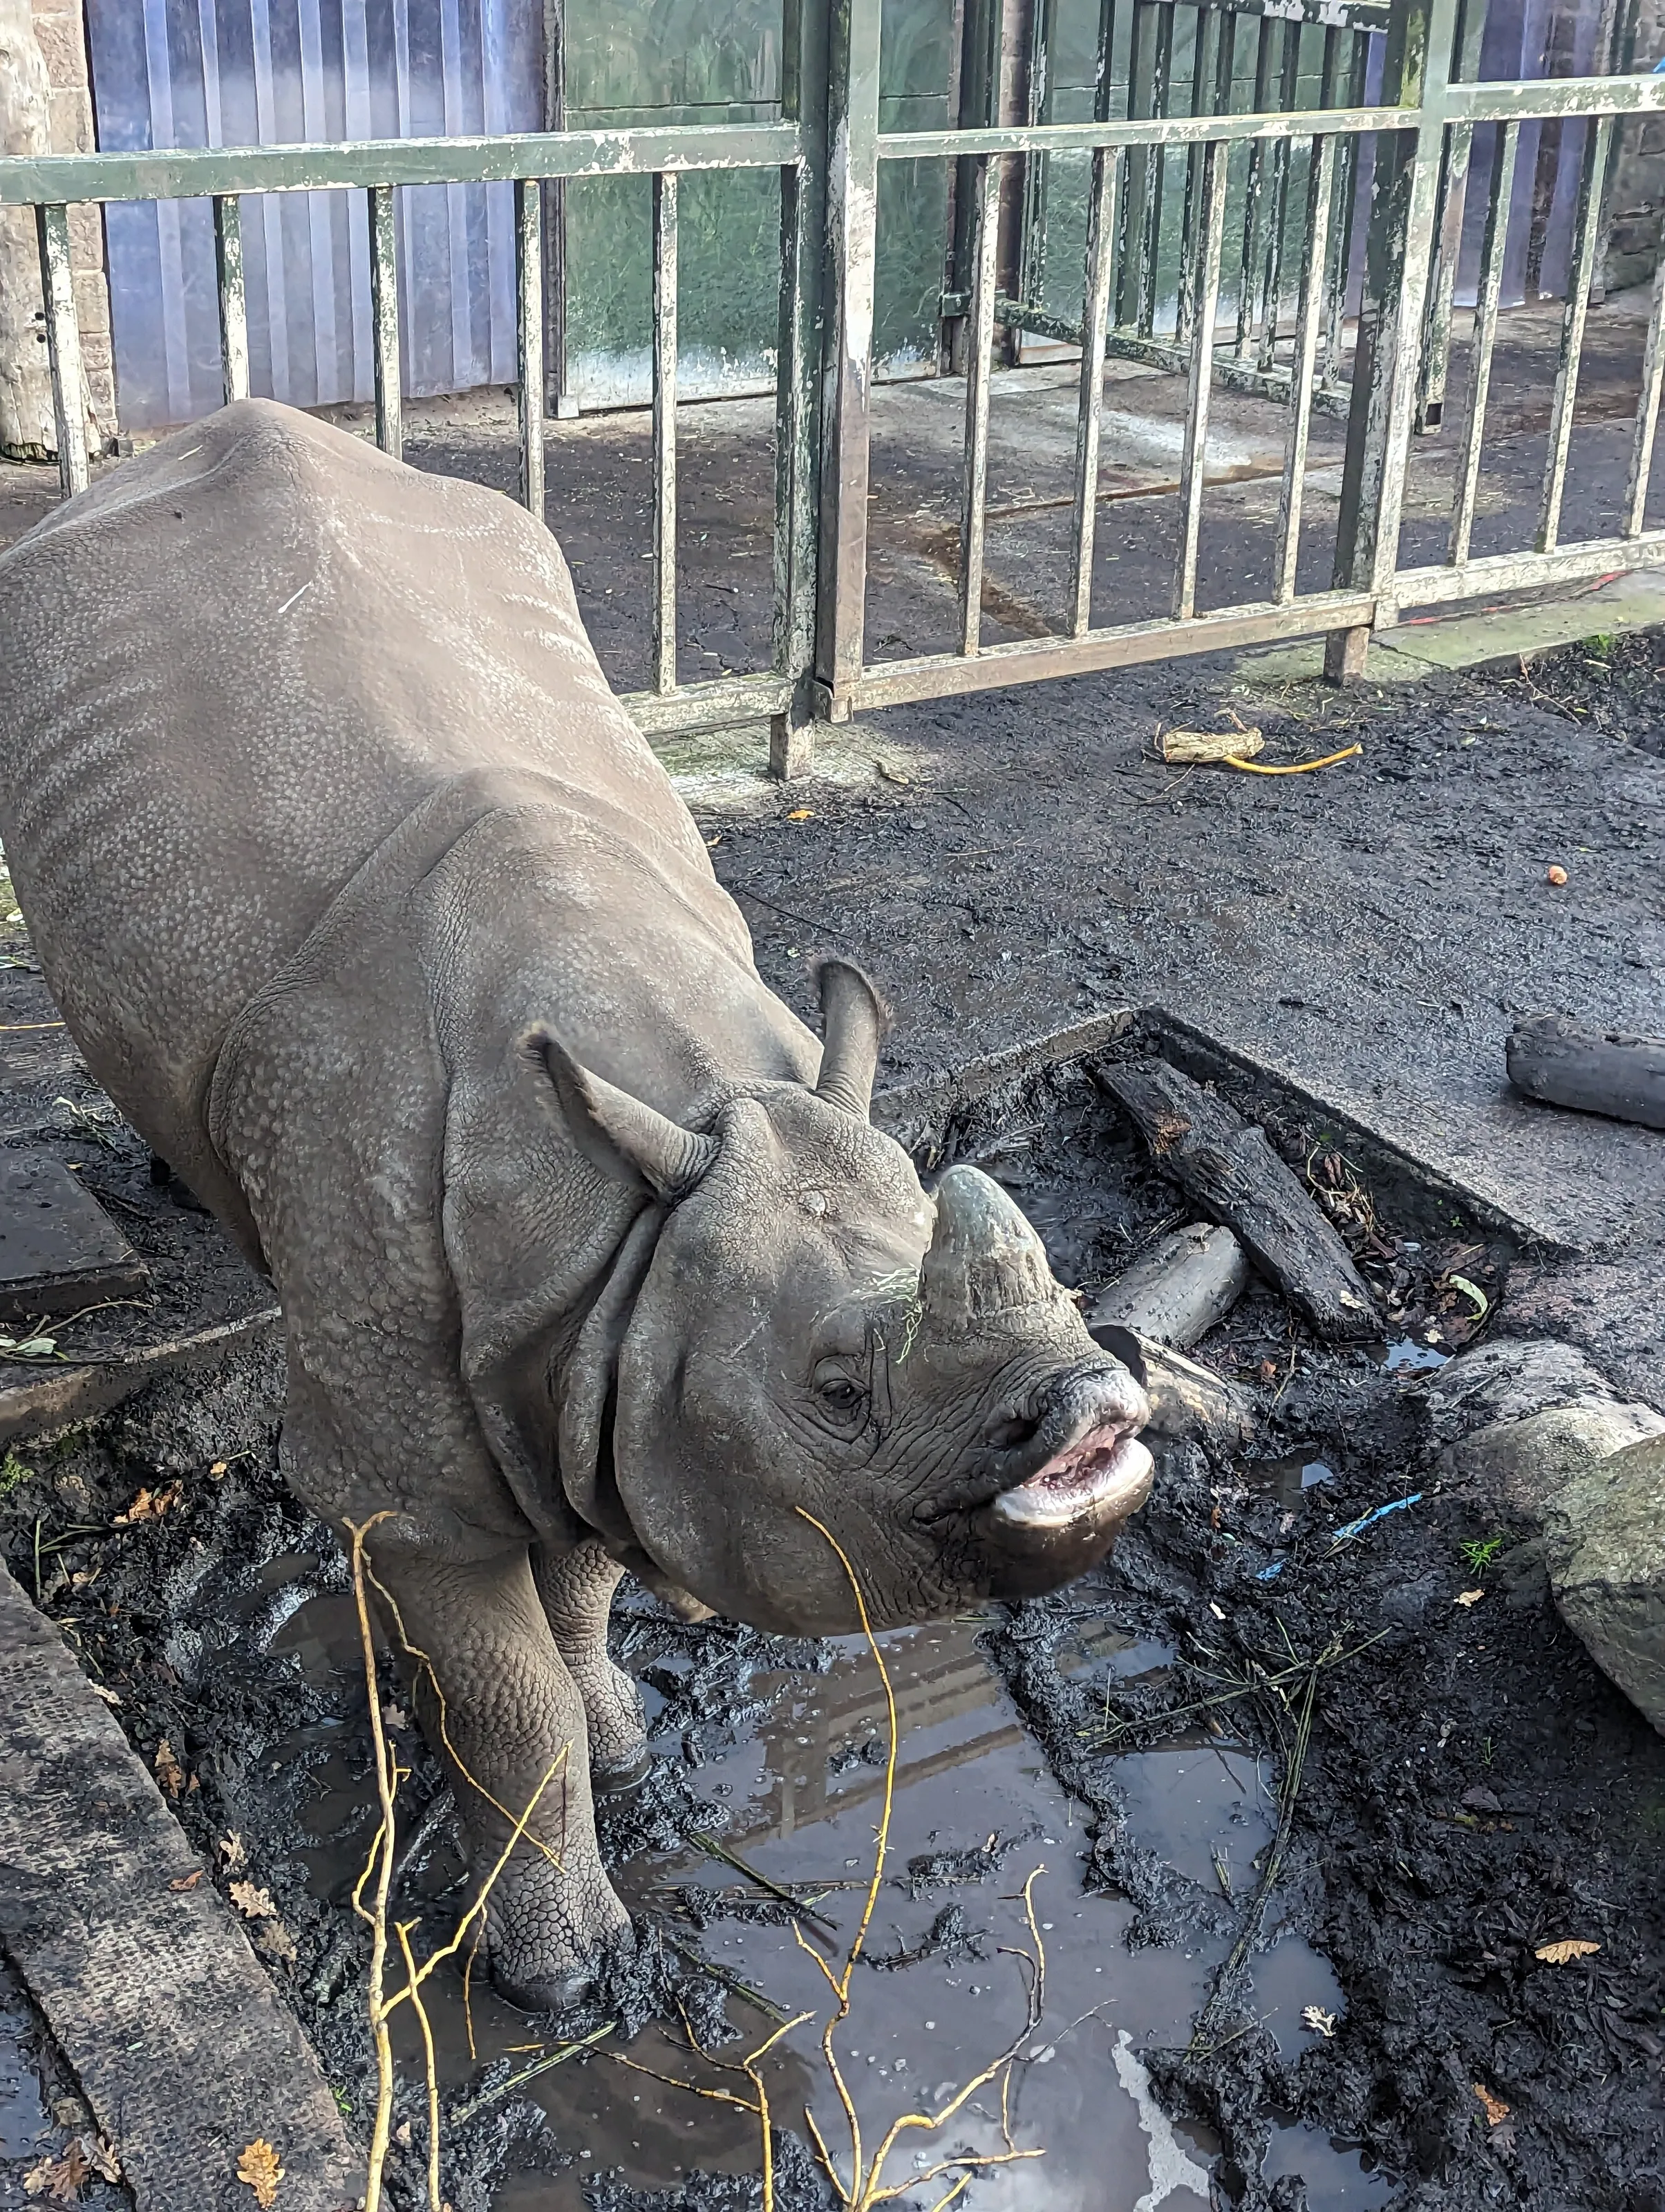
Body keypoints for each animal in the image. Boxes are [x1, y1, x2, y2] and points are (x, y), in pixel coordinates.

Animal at [0, 400, 1151, 2006]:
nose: (1092, 1407)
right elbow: (504, 1700)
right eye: (836, 1389)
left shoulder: (619, 1317)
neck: (674, 1140)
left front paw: (618, 1738)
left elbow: (593, 1561)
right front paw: (553, 1977)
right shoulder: (416, 1471)